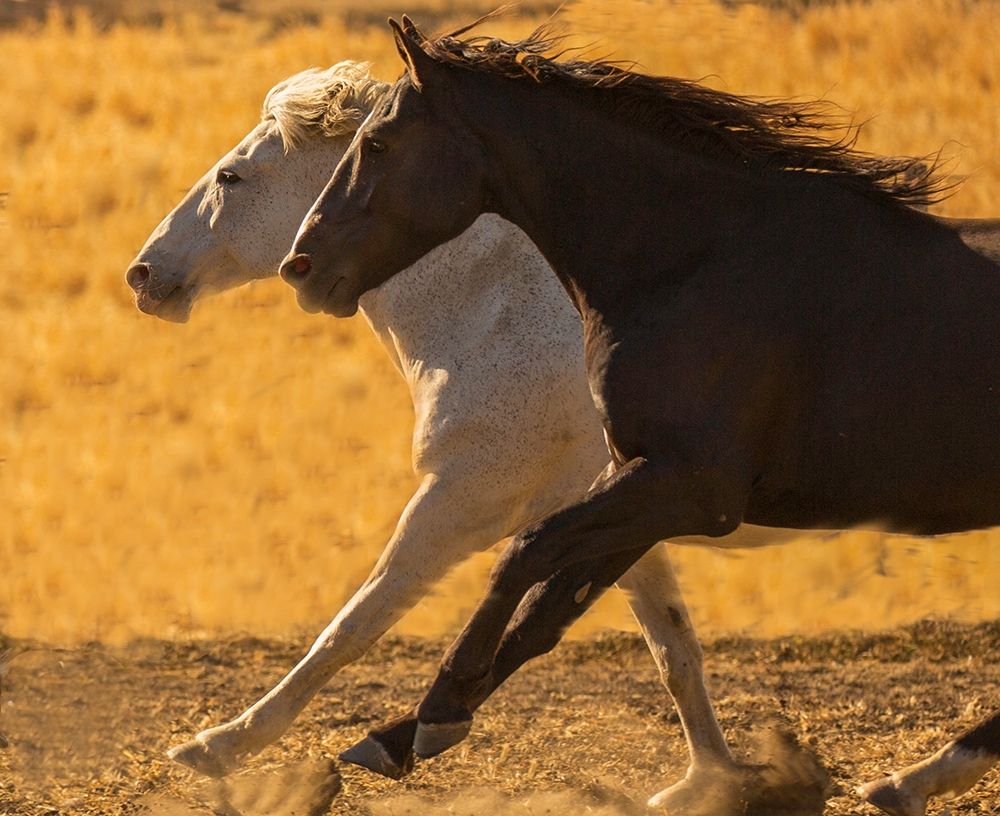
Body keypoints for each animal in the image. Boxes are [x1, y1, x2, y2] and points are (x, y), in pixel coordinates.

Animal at [126, 60, 765, 808]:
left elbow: (357, 622)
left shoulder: (463, 501)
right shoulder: (609, 517)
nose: (143, 274)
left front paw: (218, 747)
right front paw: (710, 782)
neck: (493, 314)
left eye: (231, 176)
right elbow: (672, 648)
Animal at [280, 17, 1000, 815]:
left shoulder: (691, 488)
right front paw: (396, 737)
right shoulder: (643, 482)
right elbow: (551, 611)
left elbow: (525, 552)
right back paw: (917, 777)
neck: (688, 262)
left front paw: (437, 712)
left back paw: (917, 778)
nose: (301, 265)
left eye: (378, 143)